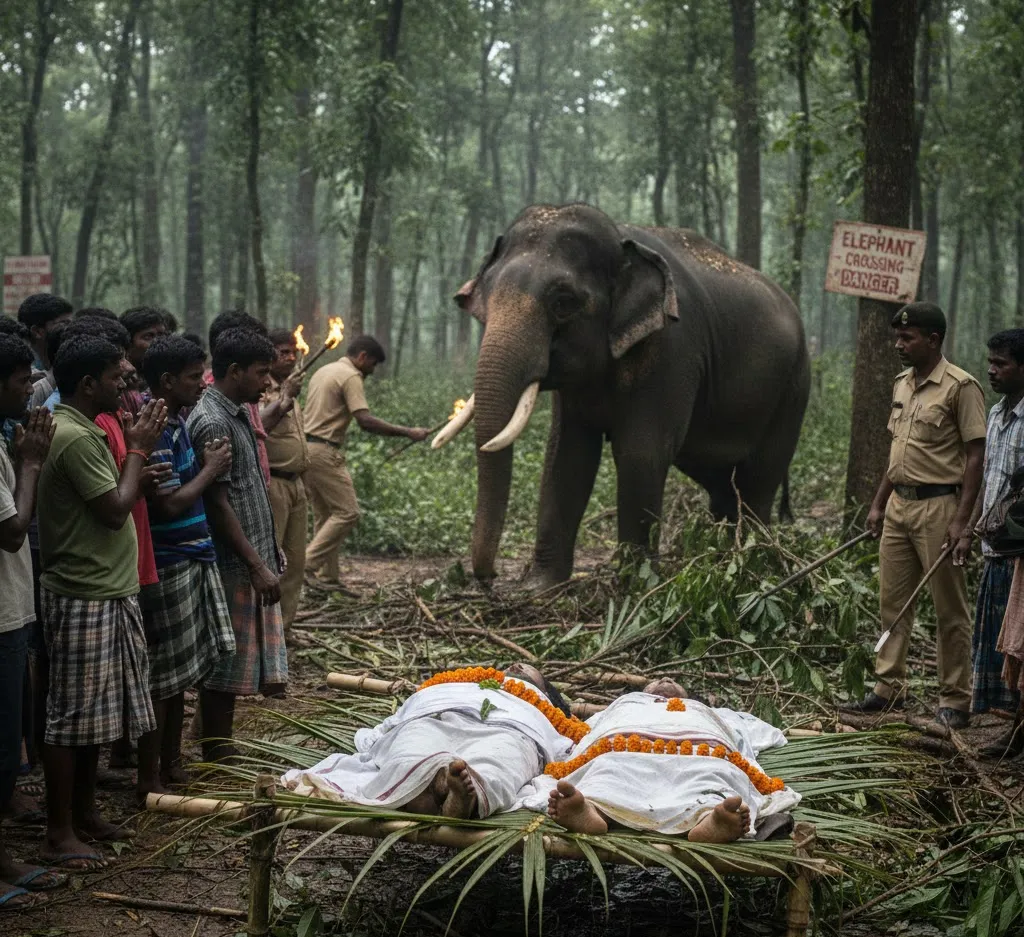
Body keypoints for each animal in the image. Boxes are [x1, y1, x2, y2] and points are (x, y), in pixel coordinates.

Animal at [433, 203, 810, 590]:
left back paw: (752, 562)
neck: (620, 239)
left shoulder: (672, 349)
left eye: (563, 302)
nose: (488, 578)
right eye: (487, 294)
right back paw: (720, 561)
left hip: (794, 388)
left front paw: (633, 586)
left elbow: (640, 454)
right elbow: (566, 455)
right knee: (722, 486)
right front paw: (539, 587)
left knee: (759, 481)